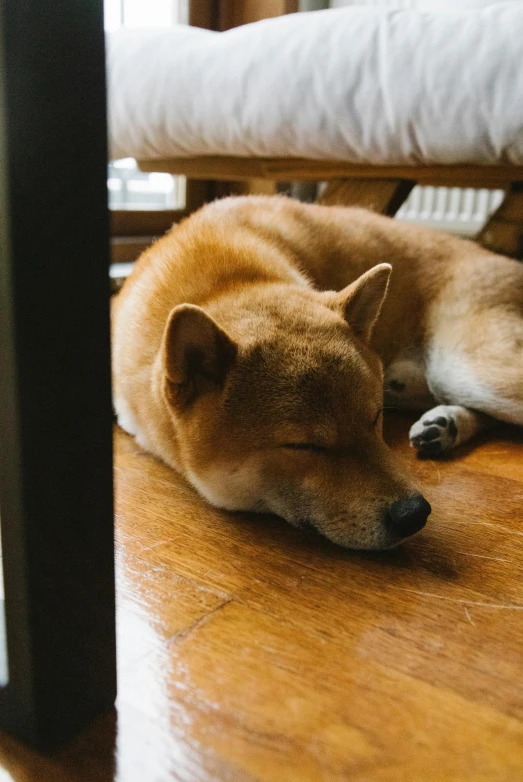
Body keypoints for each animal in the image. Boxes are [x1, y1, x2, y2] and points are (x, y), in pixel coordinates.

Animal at [111, 196, 523, 552]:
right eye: (305, 446)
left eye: (375, 418)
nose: (415, 515)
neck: (225, 282)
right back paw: (443, 425)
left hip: (463, 369)